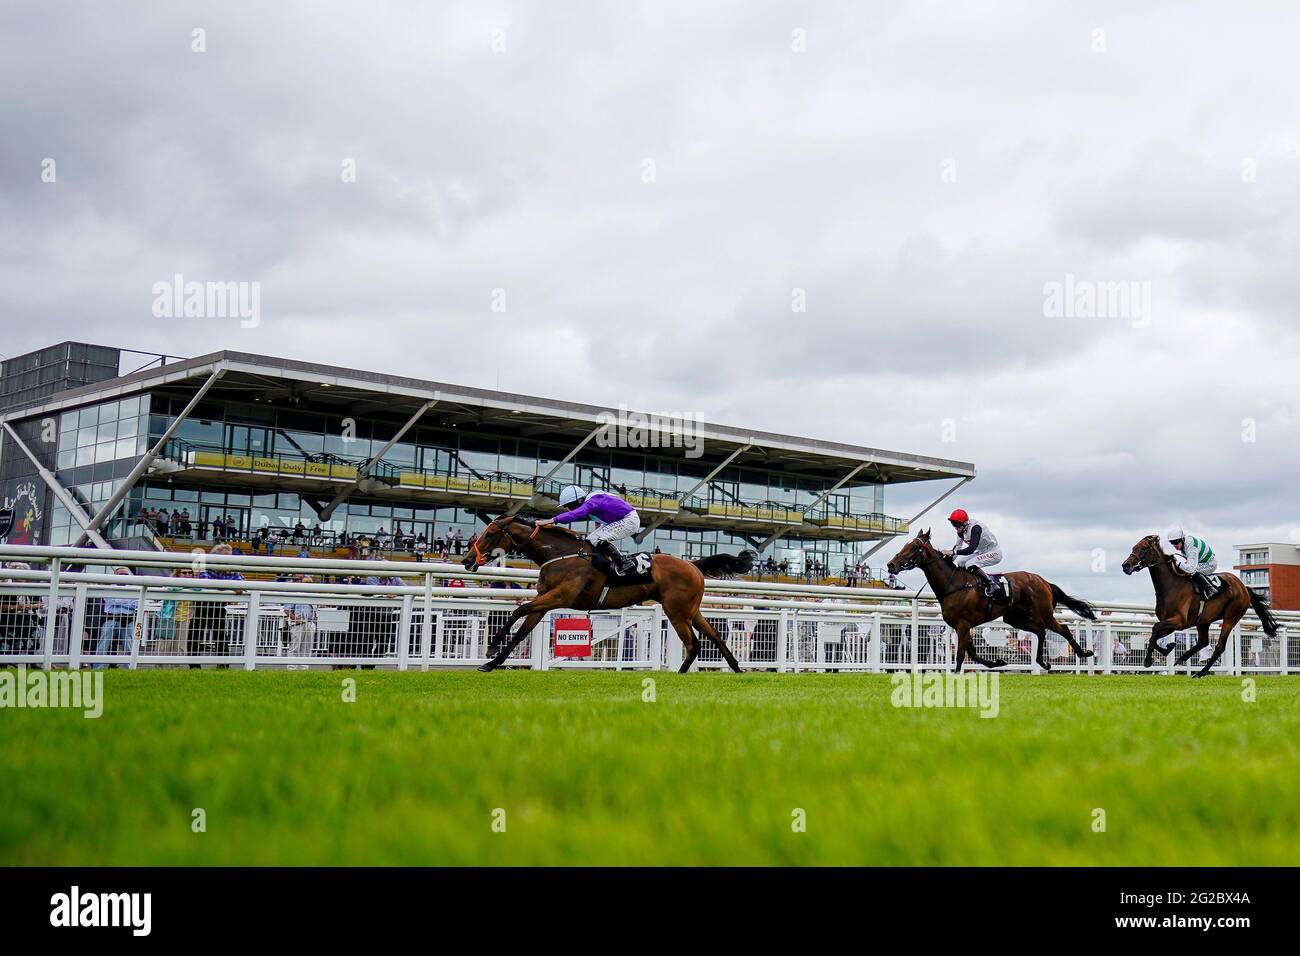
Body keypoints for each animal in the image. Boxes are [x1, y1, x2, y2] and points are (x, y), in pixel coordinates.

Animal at [465, 515, 754, 671]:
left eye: (490, 534)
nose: (467, 560)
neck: (559, 554)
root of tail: (692, 565)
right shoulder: (546, 601)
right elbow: (523, 629)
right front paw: (492, 662)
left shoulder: (560, 597)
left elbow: (519, 609)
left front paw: (492, 646)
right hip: (691, 610)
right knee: (714, 635)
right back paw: (737, 668)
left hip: (676, 611)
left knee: (694, 643)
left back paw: (680, 673)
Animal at [883, 530, 1097, 671]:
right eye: (905, 545)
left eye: (914, 547)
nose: (891, 564)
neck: (953, 584)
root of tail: (1043, 581)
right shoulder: (963, 626)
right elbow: (972, 652)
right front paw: (997, 662)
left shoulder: (962, 624)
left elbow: (962, 654)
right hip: (1015, 618)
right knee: (1041, 631)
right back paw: (1043, 662)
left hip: (1043, 614)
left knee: (1063, 629)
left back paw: (1084, 653)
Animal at [1118, 530, 1279, 681]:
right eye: (1134, 547)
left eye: (1144, 548)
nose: (1125, 565)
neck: (1170, 586)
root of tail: (1244, 588)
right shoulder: (1170, 622)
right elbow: (1154, 634)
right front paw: (1168, 648)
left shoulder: (1179, 621)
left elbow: (1154, 629)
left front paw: (1148, 660)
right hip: (1204, 620)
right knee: (1203, 641)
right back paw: (1183, 658)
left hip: (1231, 617)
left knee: (1219, 646)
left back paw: (1200, 672)